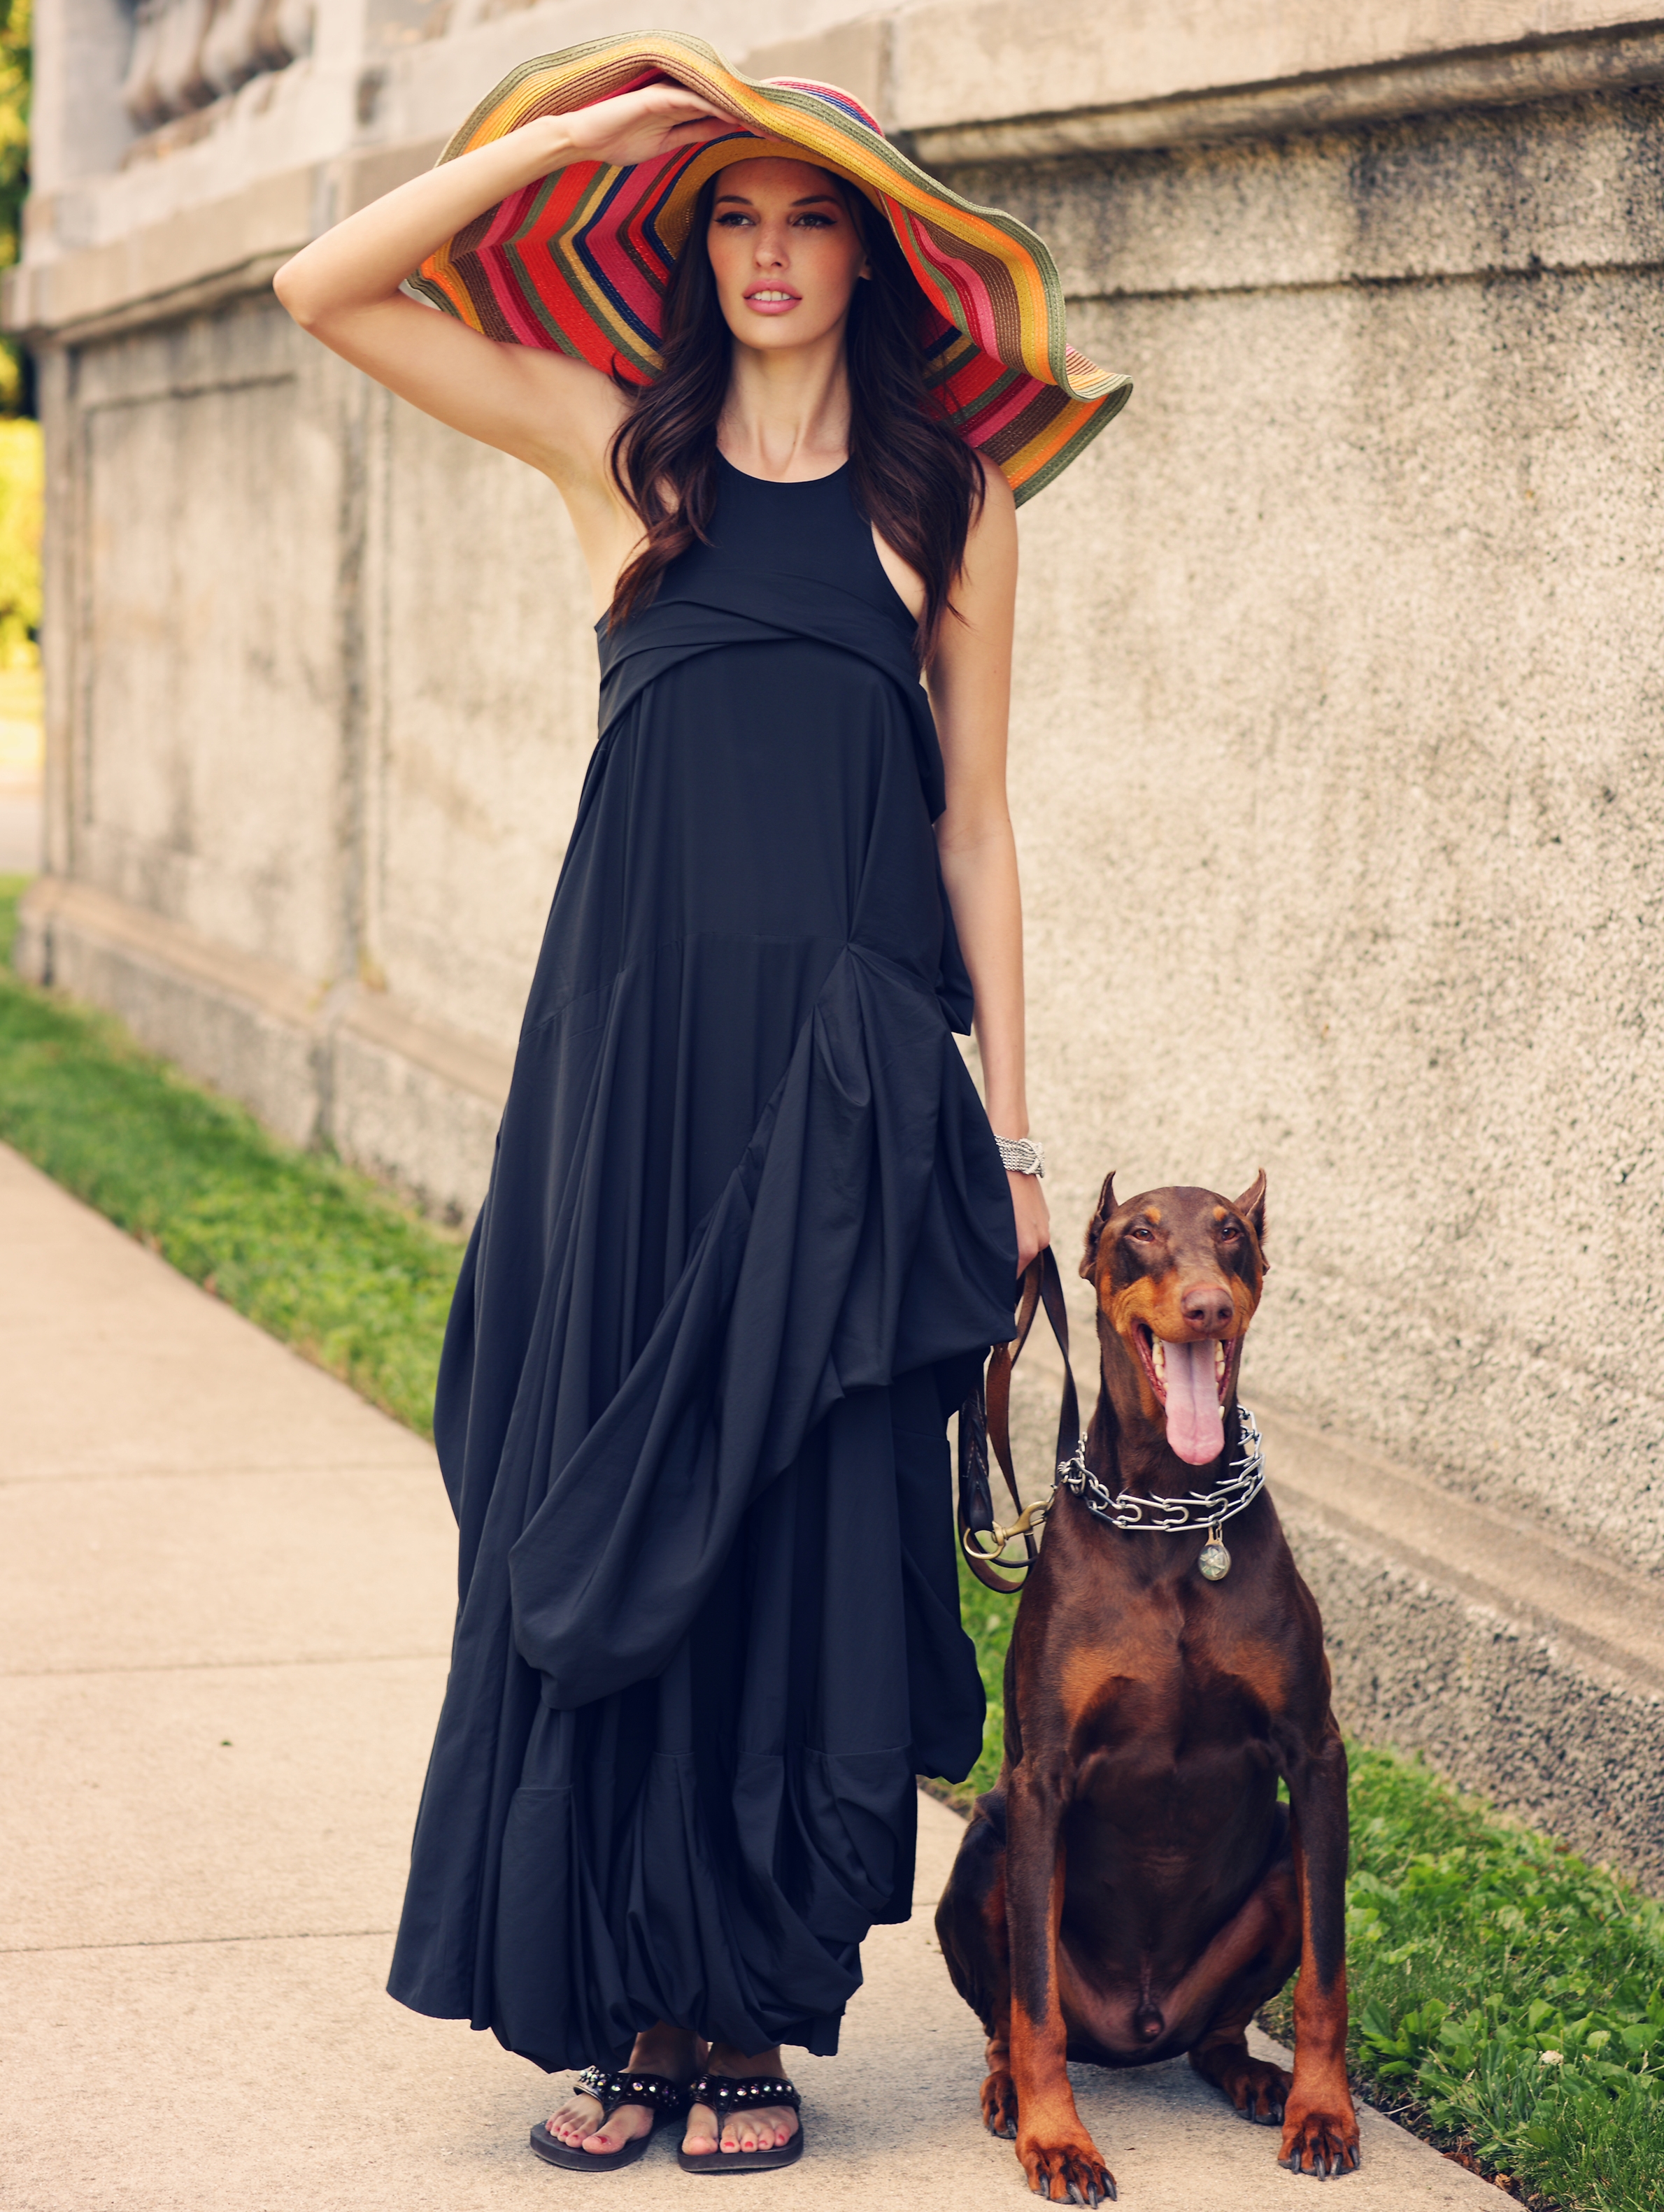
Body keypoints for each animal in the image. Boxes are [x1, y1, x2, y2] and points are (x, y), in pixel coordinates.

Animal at [936, 1173, 1358, 2202]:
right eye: (1138, 1233)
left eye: (1232, 1233)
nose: (1206, 1305)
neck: (1175, 1509)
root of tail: (1138, 2030)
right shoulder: (1039, 1780)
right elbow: (1034, 2001)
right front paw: (1056, 2138)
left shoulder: (1314, 1756)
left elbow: (1326, 1975)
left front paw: (1323, 2112)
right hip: (983, 1848)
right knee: (1007, 2016)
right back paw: (1007, 2089)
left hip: (1276, 1863)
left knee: (1216, 2033)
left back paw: (1254, 2074)